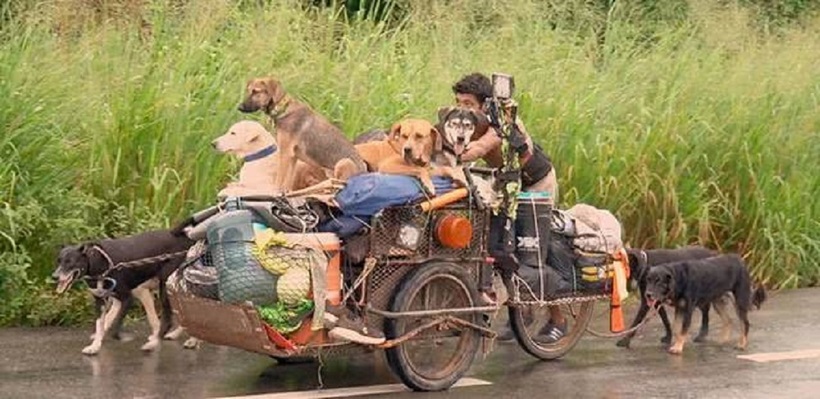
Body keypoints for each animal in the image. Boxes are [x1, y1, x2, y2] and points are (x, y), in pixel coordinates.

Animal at [54, 230, 195, 354]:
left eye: (70, 261)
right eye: (59, 260)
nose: (54, 276)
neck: (99, 262)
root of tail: (185, 237)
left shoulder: (128, 298)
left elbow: (116, 327)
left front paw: (124, 337)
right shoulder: (102, 300)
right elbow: (100, 324)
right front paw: (95, 346)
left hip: (166, 289)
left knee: (170, 319)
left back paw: (158, 343)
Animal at [237, 77, 366, 193]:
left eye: (256, 91)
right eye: (248, 91)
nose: (239, 107)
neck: (282, 109)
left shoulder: (284, 153)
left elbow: (279, 179)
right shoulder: (293, 156)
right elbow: (288, 181)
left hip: (344, 162)